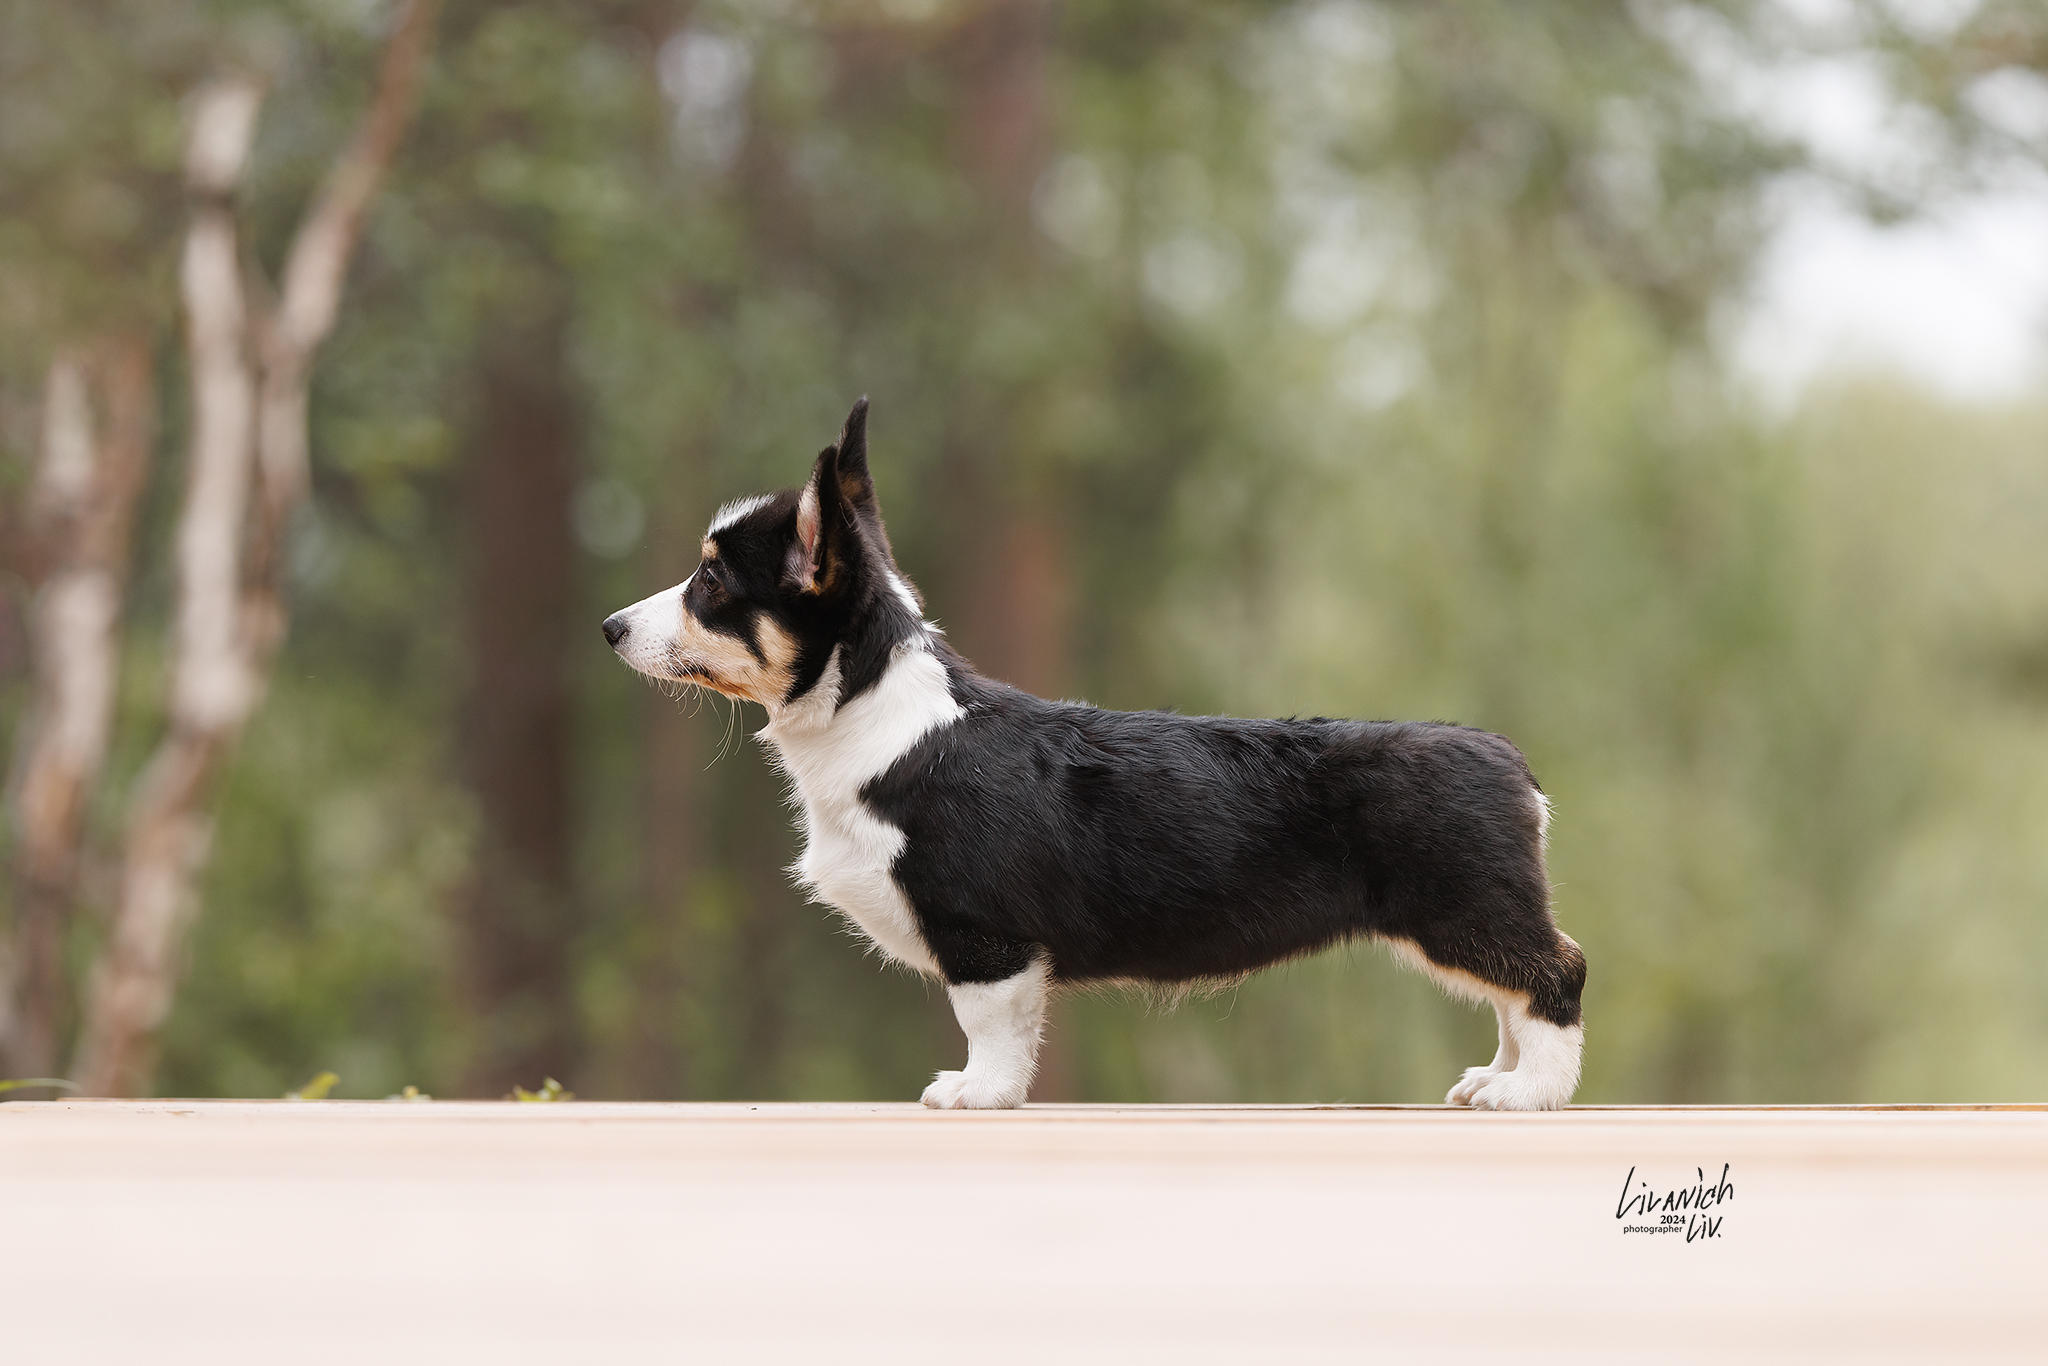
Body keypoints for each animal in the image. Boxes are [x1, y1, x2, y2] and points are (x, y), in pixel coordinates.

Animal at [598, 395, 1589, 1114]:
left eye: (711, 582)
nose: (608, 627)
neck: (876, 716)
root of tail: (1510, 760)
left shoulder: (985, 936)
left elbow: (988, 1026)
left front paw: (977, 1095)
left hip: (1463, 912)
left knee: (1555, 974)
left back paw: (1529, 1094)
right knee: (1520, 990)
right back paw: (1498, 1078)